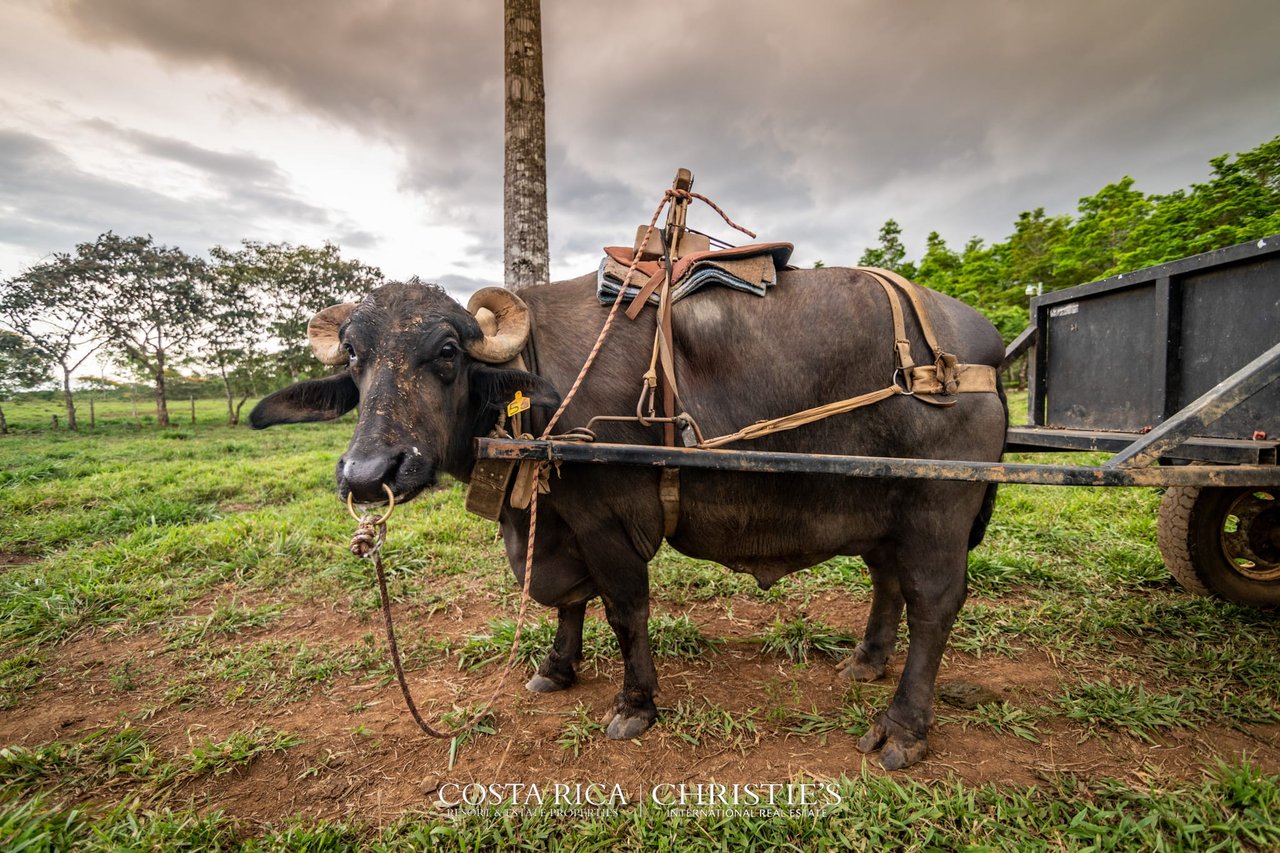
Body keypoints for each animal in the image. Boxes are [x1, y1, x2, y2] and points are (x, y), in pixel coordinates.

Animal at [249, 268, 1008, 768]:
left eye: (445, 353)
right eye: (355, 355)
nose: (369, 473)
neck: (533, 409)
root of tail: (979, 345)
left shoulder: (608, 522)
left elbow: (623, 608)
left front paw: (635, 703)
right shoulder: (555, 520)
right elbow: (567, 602)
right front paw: (556, 667)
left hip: (937, 510)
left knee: (934, 602)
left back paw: (902, 727)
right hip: (885, 507)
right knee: (887, 581)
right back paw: (865, 662)